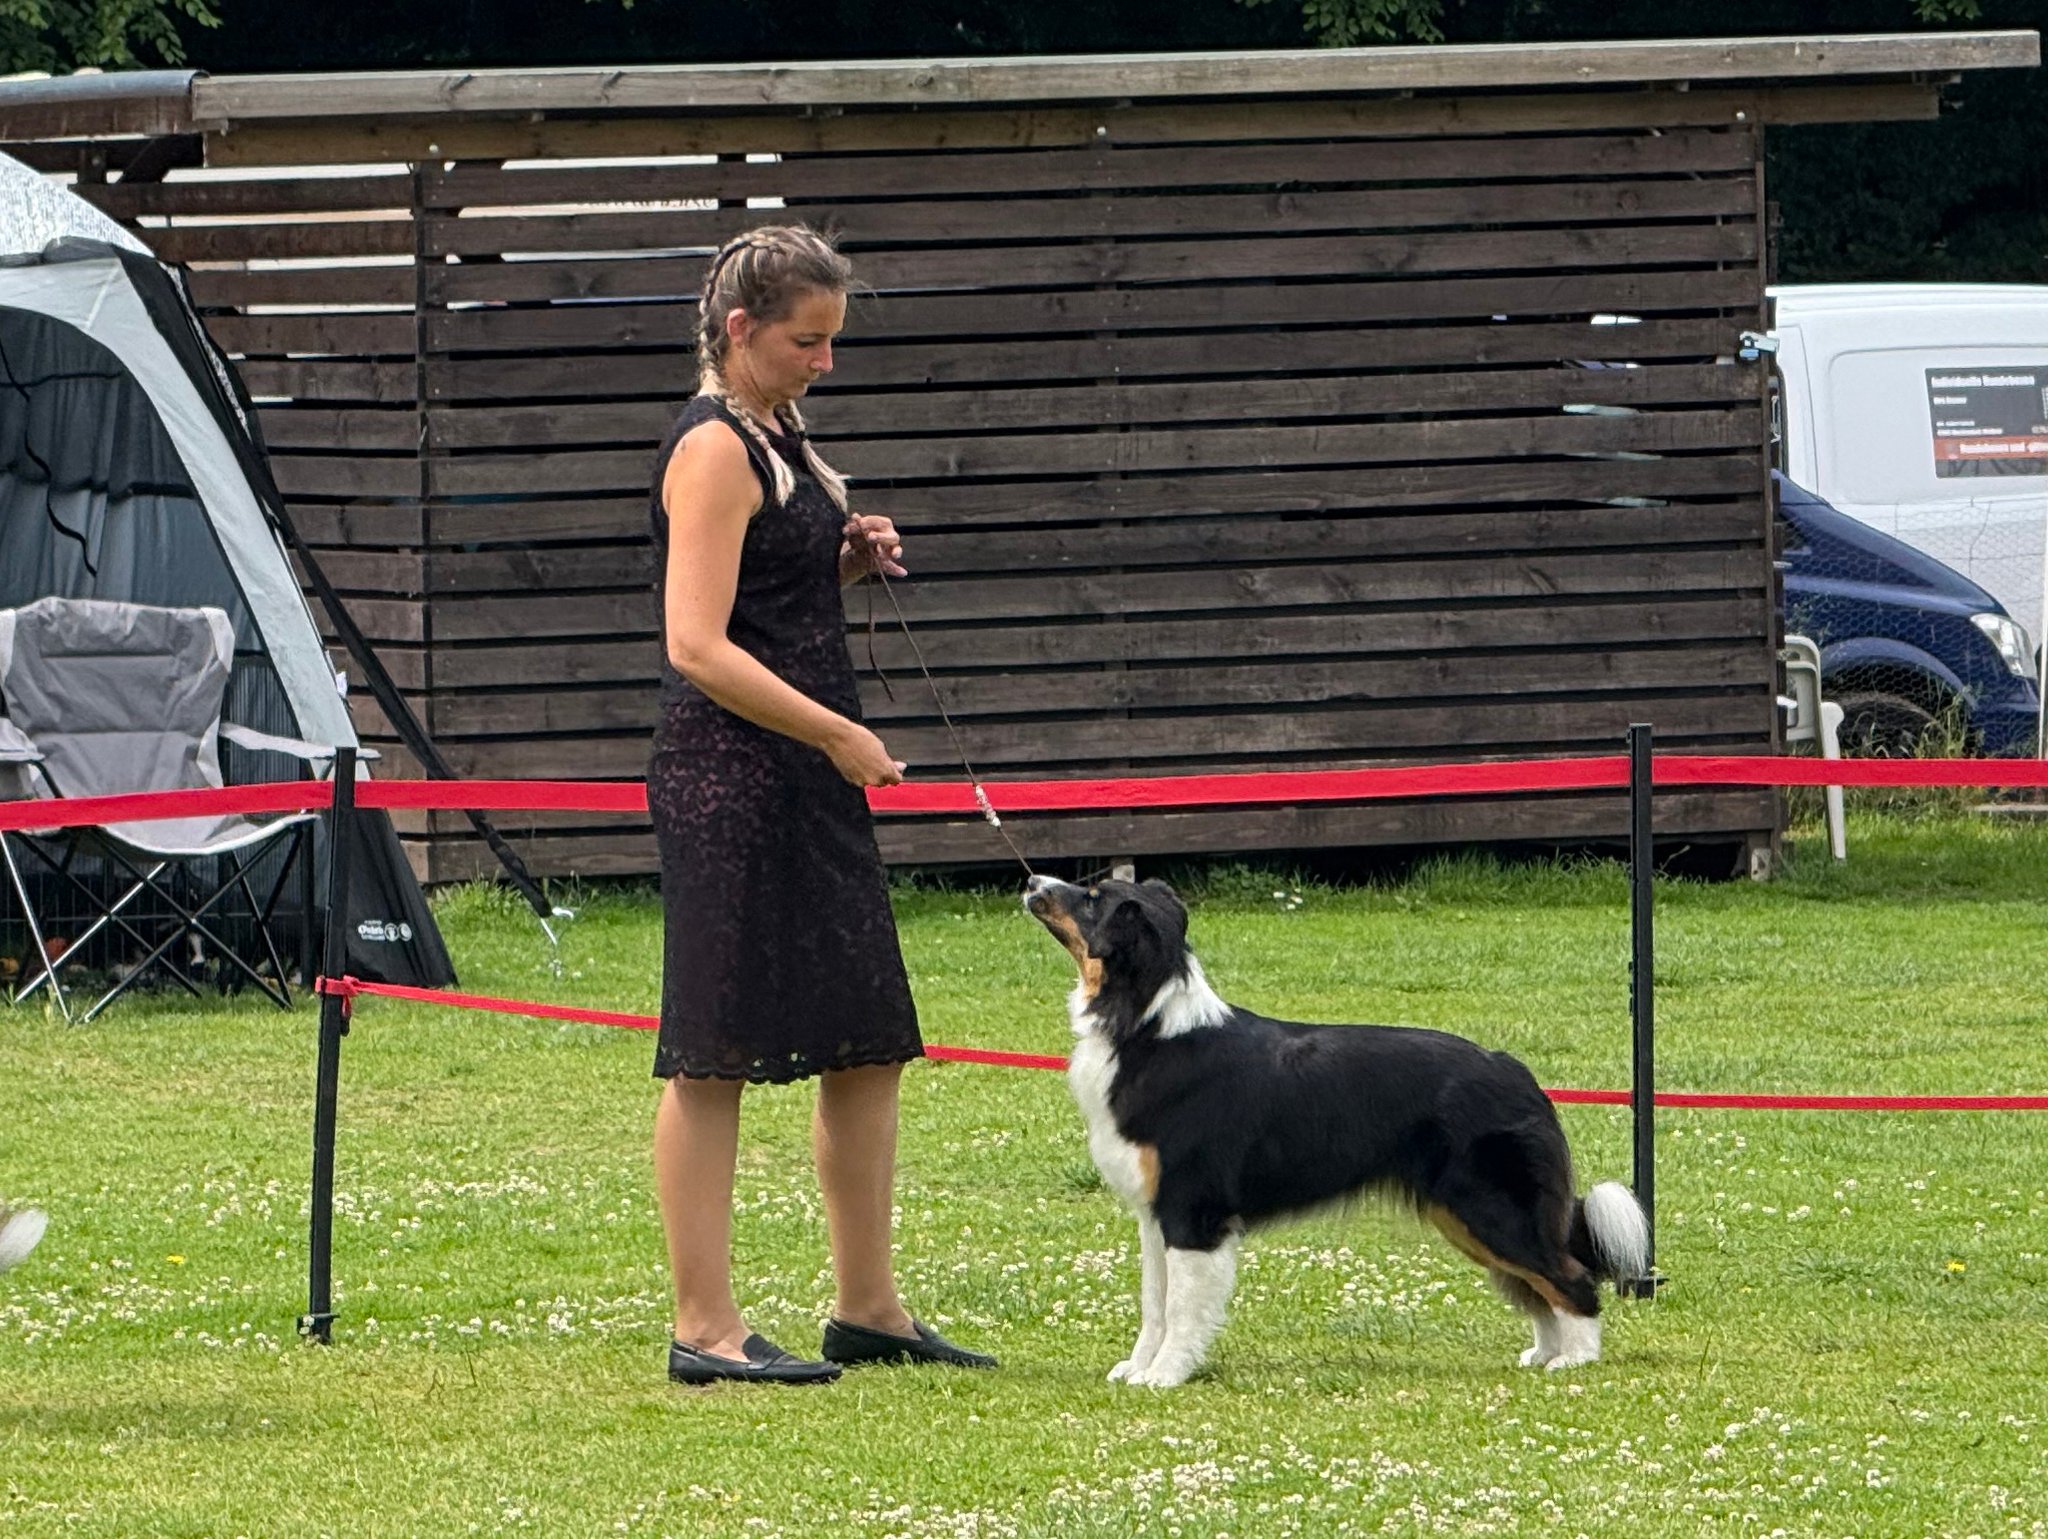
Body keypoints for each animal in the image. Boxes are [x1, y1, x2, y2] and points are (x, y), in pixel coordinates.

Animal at [1022, 873, 1649, 1387]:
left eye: (1092, 898)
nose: (1032, 881)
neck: (1143, 1023)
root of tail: (1518, 1072)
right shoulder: (1156, 1214)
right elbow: (1154, 1302)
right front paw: (1138, 1367)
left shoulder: (1191, 1211)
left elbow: (1181, 1306)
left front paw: (1166, 1375)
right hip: (1468, 1216)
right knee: (1538, 1283)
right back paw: (1545, 1353)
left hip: (1489, 1206)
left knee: (1570, 1275)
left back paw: (1576, 1358)